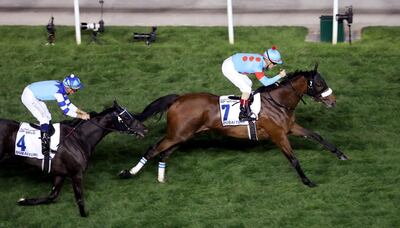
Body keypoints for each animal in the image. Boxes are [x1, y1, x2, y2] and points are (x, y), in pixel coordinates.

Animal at [0, 100, 147, 216]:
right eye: (126, 117)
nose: (144, 128)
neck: (79, 138)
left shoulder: (60, 173)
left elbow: (52, 196)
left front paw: (24, 200)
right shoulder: (76, 173)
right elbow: (79, 197)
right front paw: (84, 215)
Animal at [119, 64, 346, 187]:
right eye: (319, 84)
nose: (333, 101)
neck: (279, 102)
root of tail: (178, 99)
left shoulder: (290, 128)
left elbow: (316, 136)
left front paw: (341, 154)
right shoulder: (278, 135)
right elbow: (294, 159)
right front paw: (308, 181)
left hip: (182, 136)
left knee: (164, 153)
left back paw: (160, 179)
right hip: (177, 135)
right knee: (152, 149)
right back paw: (129, 173)